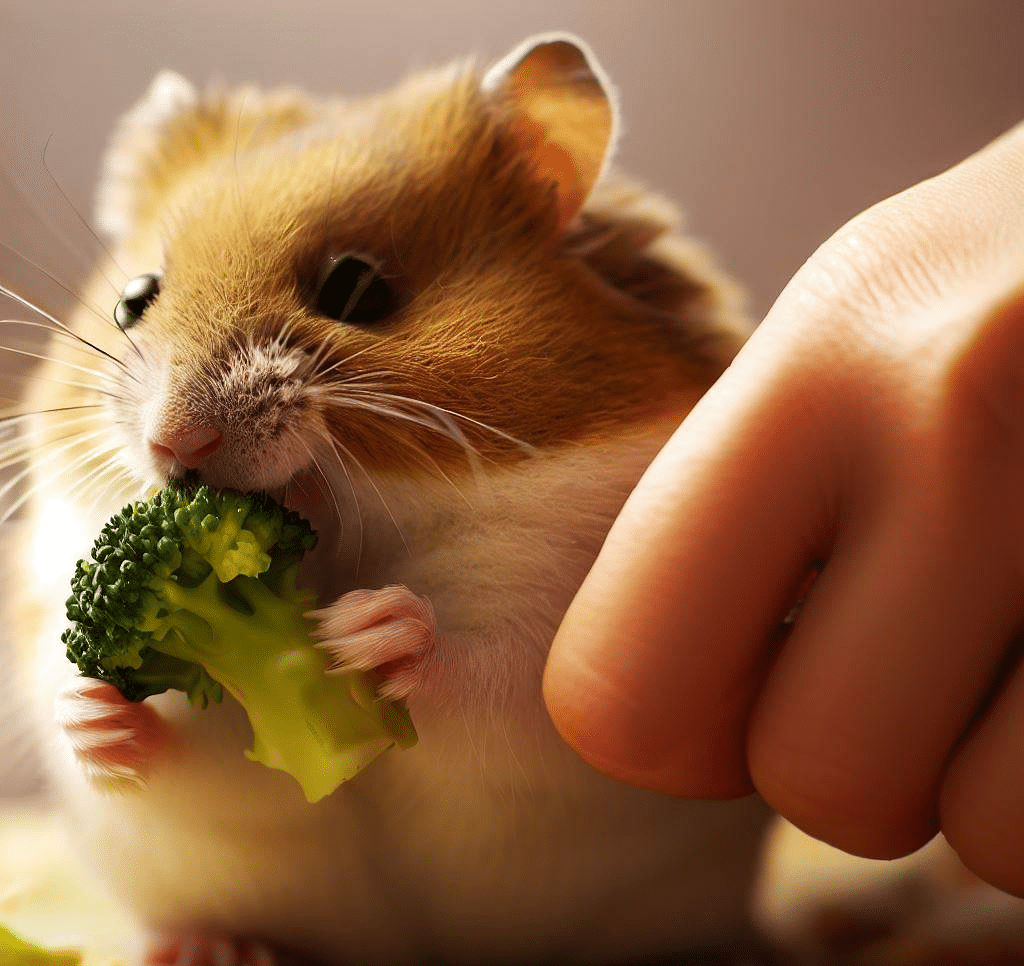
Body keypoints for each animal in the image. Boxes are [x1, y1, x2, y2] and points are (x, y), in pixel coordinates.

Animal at [9, 32, 770, 966]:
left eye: (358, 290)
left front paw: (368, 634)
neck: (337, 547)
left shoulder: (578, 660)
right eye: (132, 300)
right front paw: (91, 711)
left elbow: (509, 682)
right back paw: (208, 948)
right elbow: (192, 760)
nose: (174, 446)